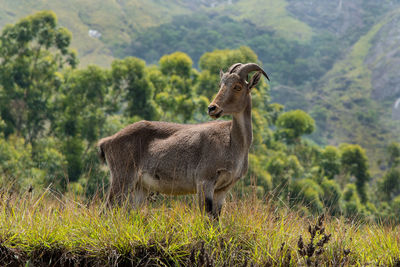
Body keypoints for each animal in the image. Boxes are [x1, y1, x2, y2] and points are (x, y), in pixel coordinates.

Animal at [98, 63, 270, 219]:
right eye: (221, 84)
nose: (212, 108)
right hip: (122, 177)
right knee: (105, 210)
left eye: (237, 86)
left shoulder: (223, 188)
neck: (233, 142)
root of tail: (107, 142)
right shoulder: (204, 181)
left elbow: (216, 218)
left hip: (140, 187)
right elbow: (206, 216)